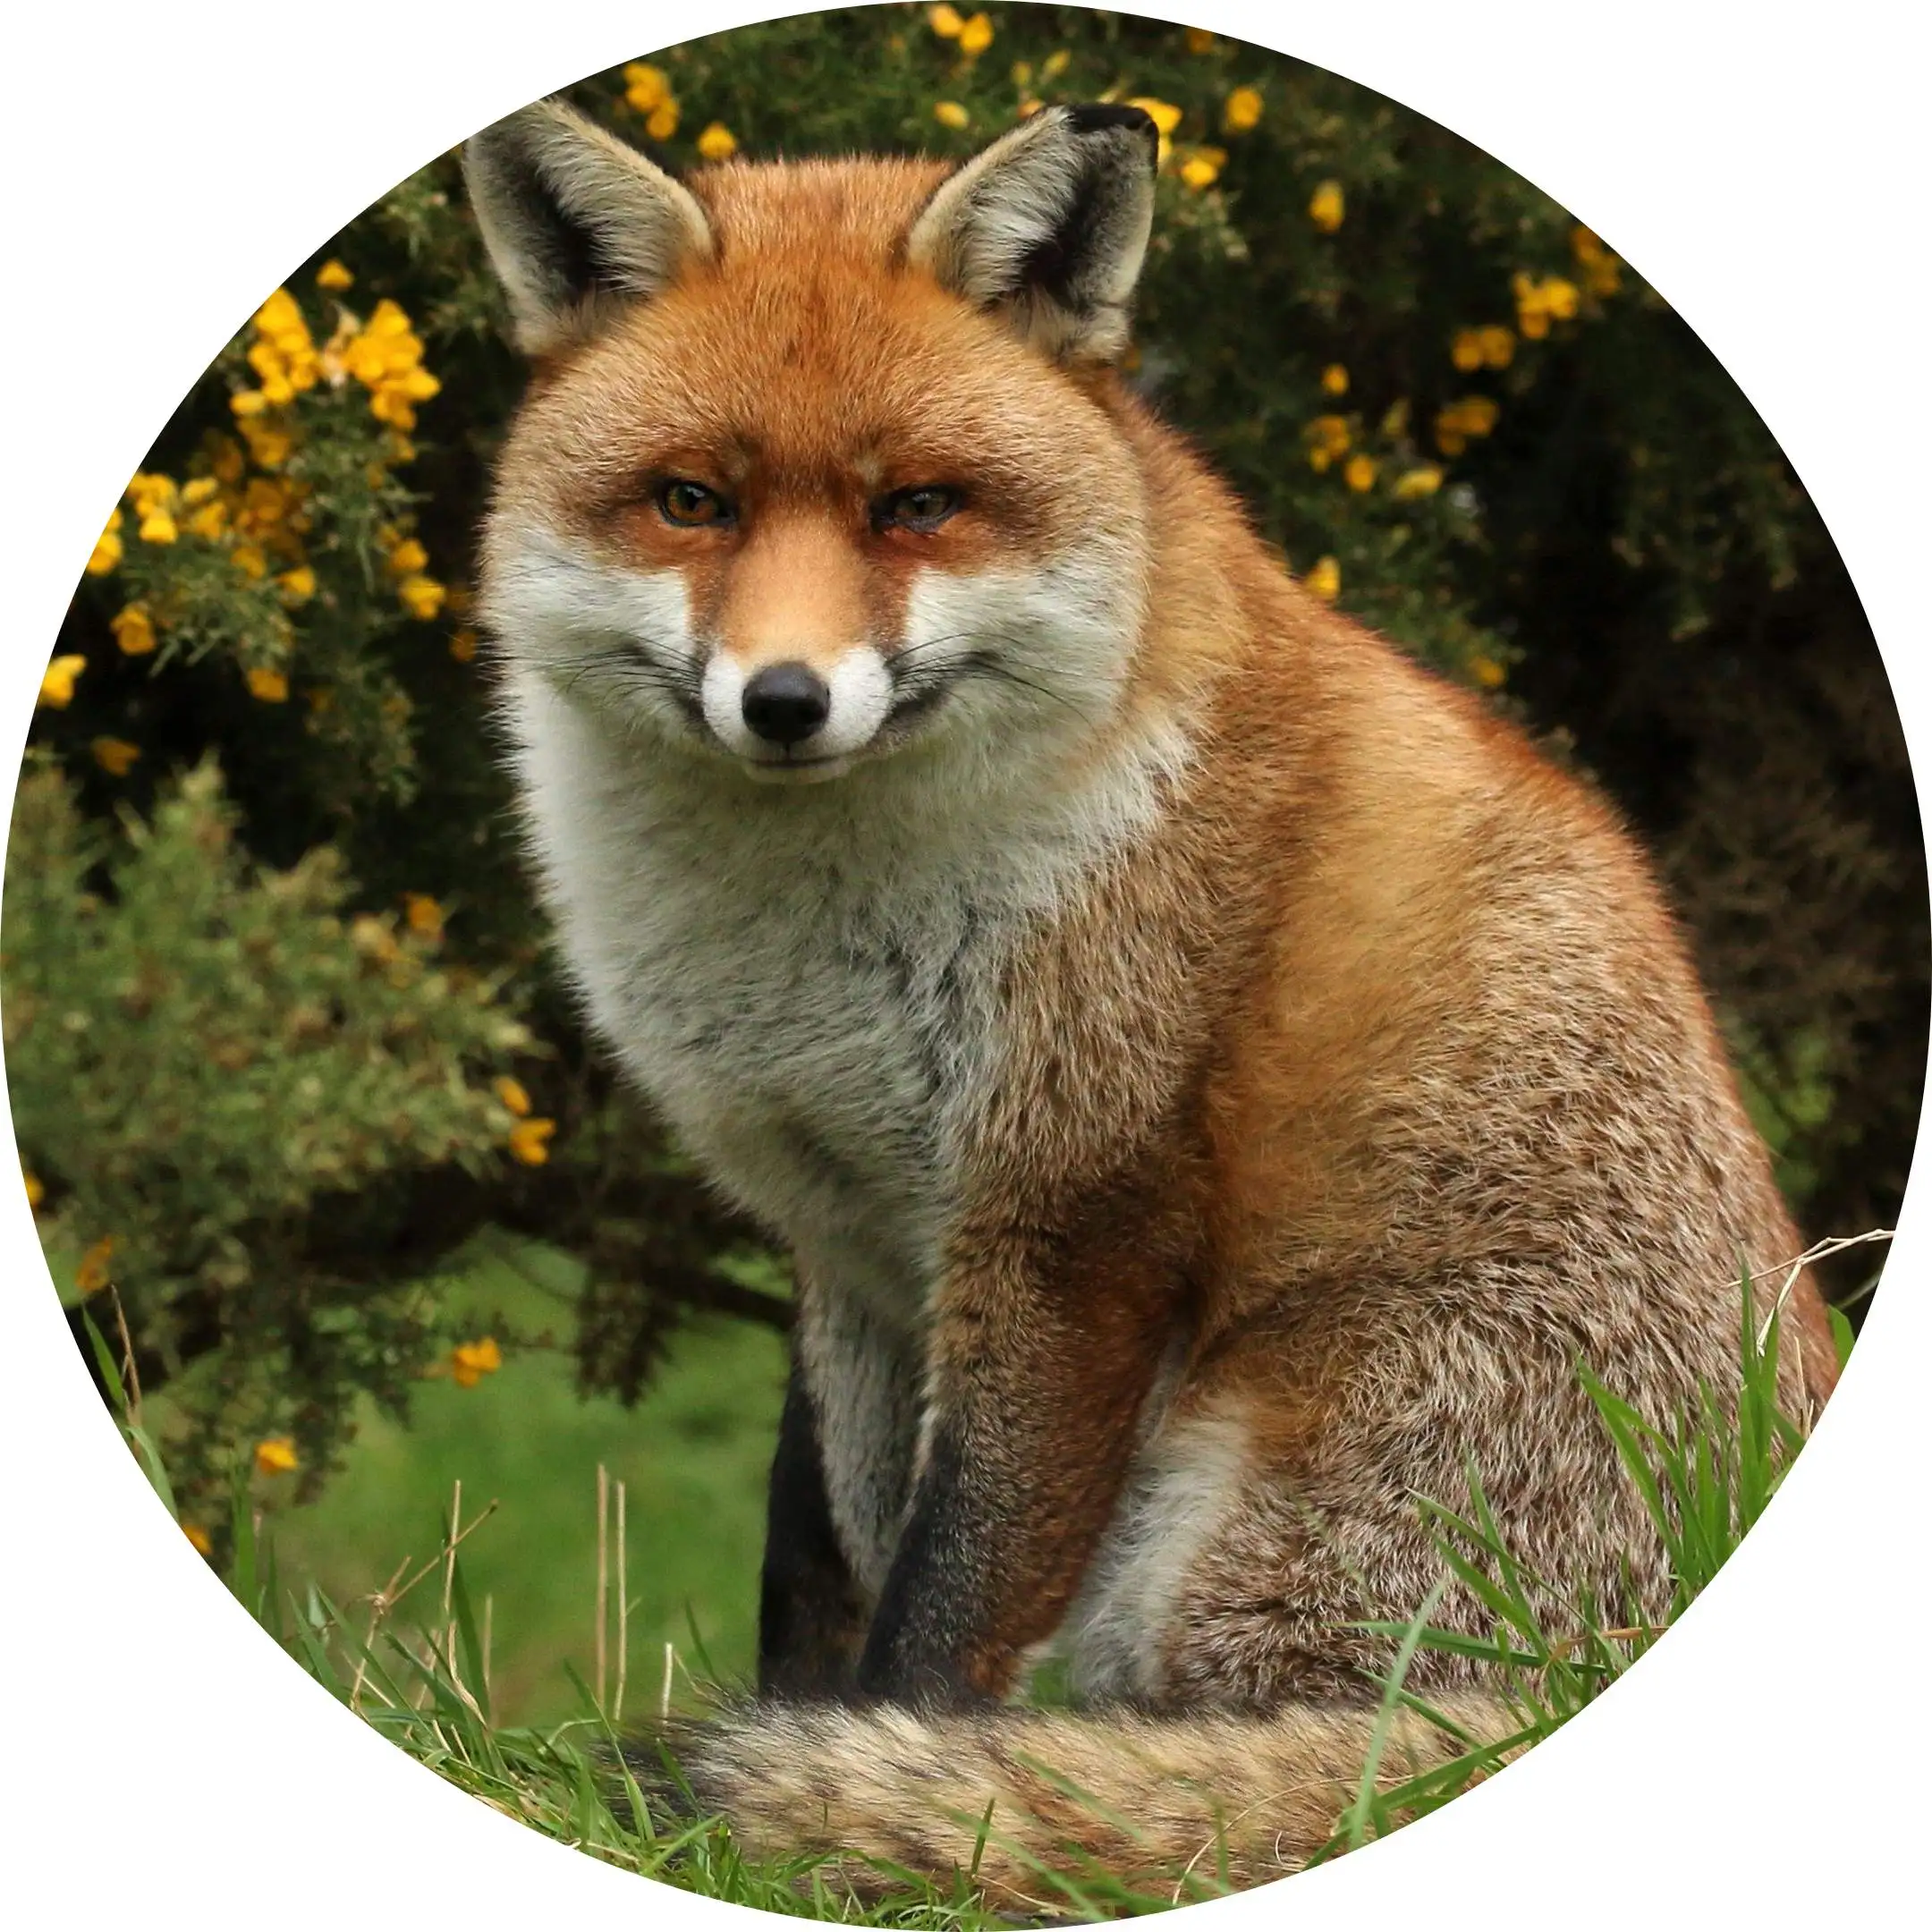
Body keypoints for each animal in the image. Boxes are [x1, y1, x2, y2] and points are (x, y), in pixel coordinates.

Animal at [461, 96, 1842, 1898]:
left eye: (920, 507)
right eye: (691, 501)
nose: (784, 702)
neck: (804, 945)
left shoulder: (1072, 1223)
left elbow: (939, 1617)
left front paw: (865, 1798)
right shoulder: (847, 1238)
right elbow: (815, 1568)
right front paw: (781, 1786)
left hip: (1224, 1528)